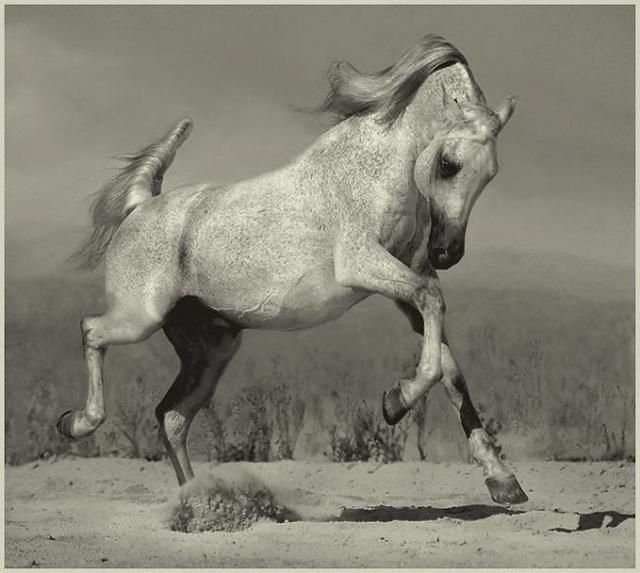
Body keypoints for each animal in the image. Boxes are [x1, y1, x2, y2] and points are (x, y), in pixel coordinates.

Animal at [57, 34, 527, 505]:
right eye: (448, 164)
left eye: (491, 174)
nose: (447, 253)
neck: (373, 171)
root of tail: (140, 205)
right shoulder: (363, 265)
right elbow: (433, 318)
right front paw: (396, 401)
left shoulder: (406, 290)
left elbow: (449, 366)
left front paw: (503, 481)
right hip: (140, 318)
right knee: (91, 330)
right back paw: (76, 423)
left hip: (211, 349)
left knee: (171, 416)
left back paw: (198, 502)